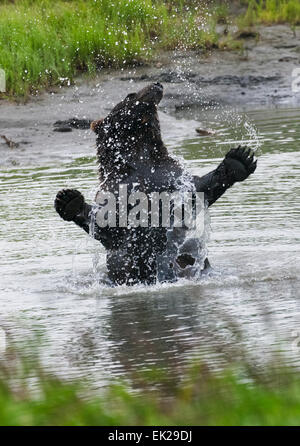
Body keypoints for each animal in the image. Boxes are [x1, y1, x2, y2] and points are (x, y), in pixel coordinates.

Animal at [55, 83, 256, 286]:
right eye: (130, 94)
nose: (157, 84)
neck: (140, 158)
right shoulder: (116, 189)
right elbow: (105, 222)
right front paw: (68, 198)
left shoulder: (171, 177)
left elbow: (199, 189)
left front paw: (238, 160)